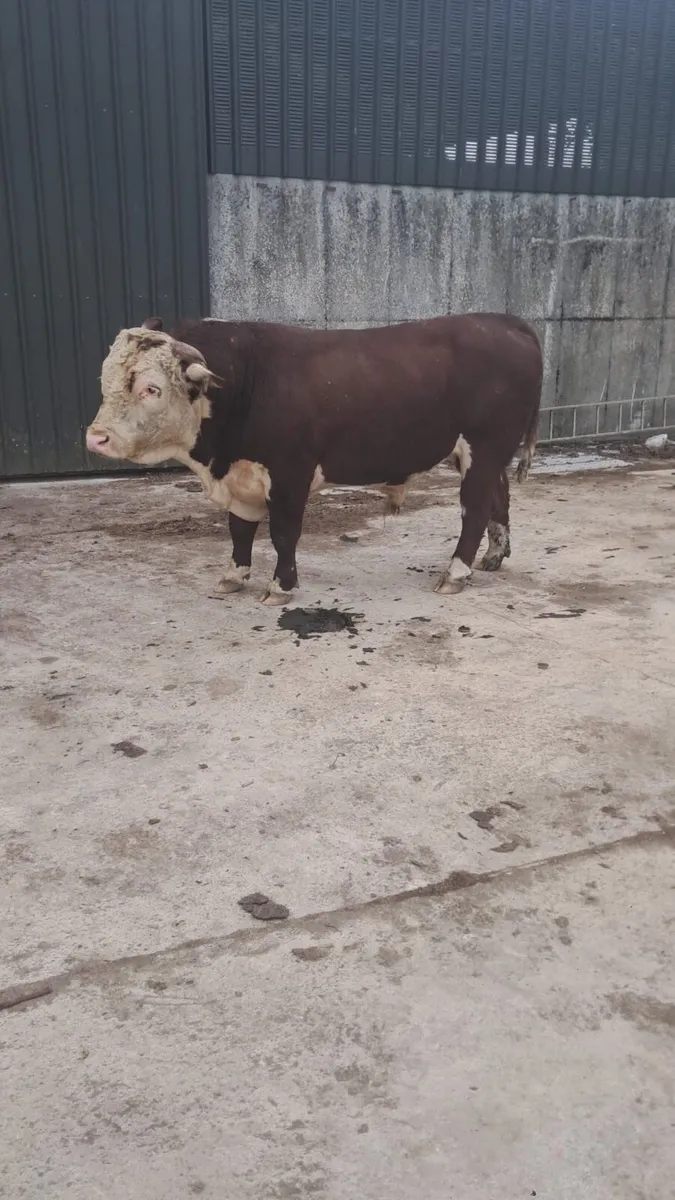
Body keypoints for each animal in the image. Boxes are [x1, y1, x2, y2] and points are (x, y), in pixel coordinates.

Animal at [86, 314, 541, 604]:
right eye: (105, 379)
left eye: (151, 388)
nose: (96, 437)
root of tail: (503, 320)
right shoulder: (244, 477)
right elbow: (239, 531)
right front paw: (234, 576)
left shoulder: (290, 473)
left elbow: (283, 533)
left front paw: (281, 586)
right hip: (483, 455)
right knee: (499, 497)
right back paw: (493, 557)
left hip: (484, 448)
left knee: (475, 509)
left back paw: (456, 573)